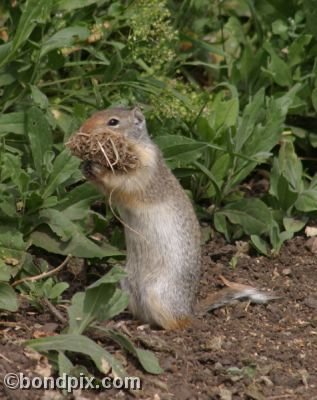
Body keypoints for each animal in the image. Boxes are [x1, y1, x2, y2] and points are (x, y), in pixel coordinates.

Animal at [67, 106, 274, 328]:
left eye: (113, 122)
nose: (83, 130)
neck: (138, 146)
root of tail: (189, 310)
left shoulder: (144, 171)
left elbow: (121, 182)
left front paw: (97, 168)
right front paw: (85, 165)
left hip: (158, 294)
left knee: (176, 325)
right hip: (127, 285)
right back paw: (131, 324)